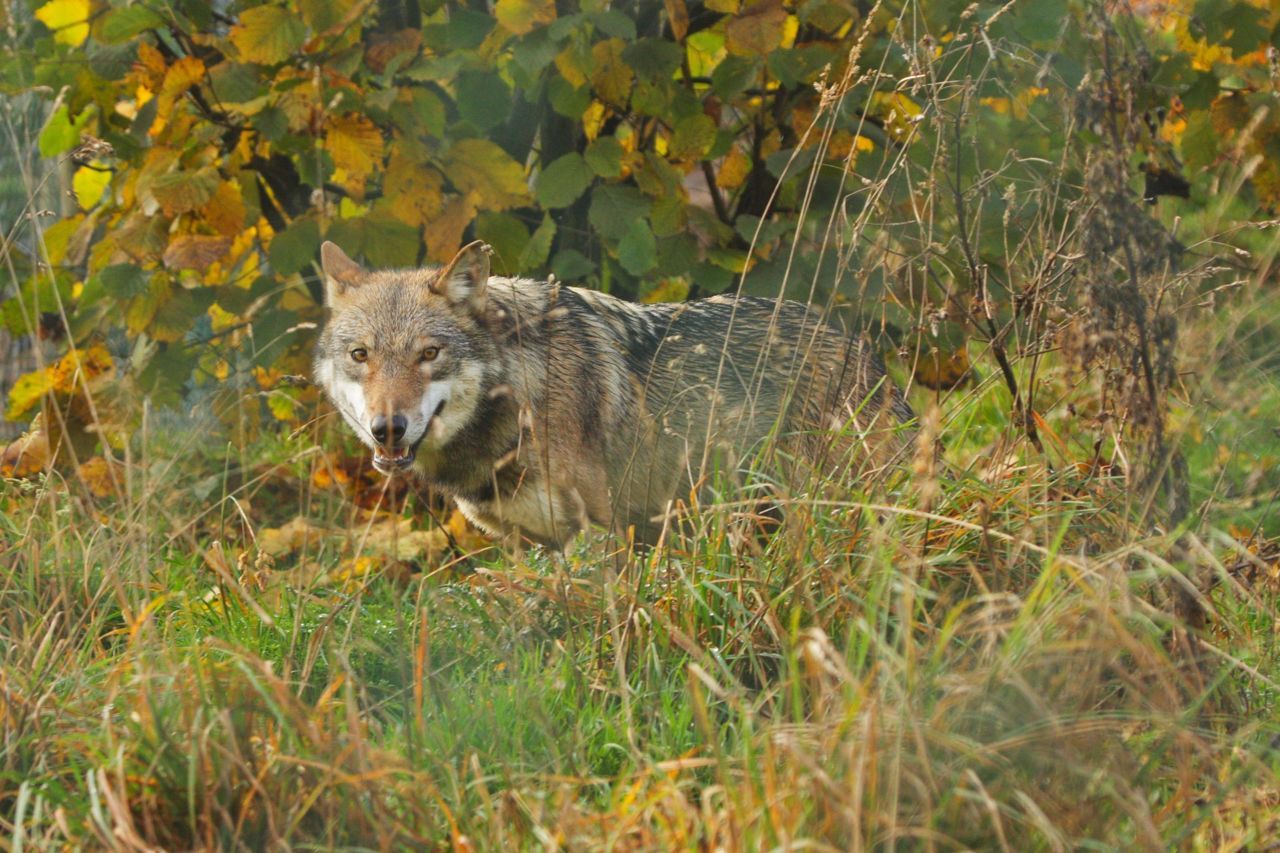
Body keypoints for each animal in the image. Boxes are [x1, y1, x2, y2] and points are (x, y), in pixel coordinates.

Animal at [312, 240, 911, 545]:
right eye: (361, 356)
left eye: (429, 354)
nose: (387, 429)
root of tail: (857, 345)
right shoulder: (524, 544)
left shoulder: (600, 533)